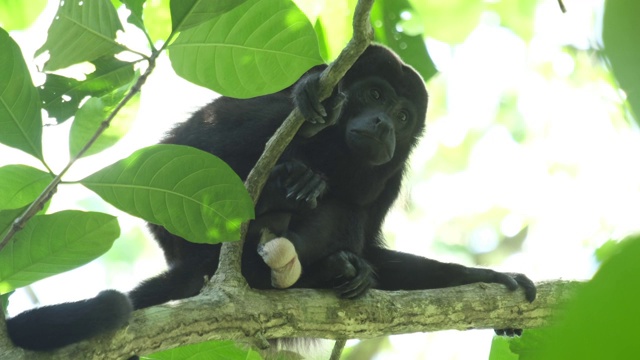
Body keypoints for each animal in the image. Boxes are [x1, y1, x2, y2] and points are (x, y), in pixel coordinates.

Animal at [6, 45, 536, 352]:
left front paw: (490, 278)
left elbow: (373, 245)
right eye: (374, 95)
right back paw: (288, 193)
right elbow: (196, 148)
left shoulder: (393, 173)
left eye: (404, 115)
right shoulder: (266, 102)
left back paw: (334, 266)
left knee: (345, 215)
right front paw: (312, 106)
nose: (385, 125)